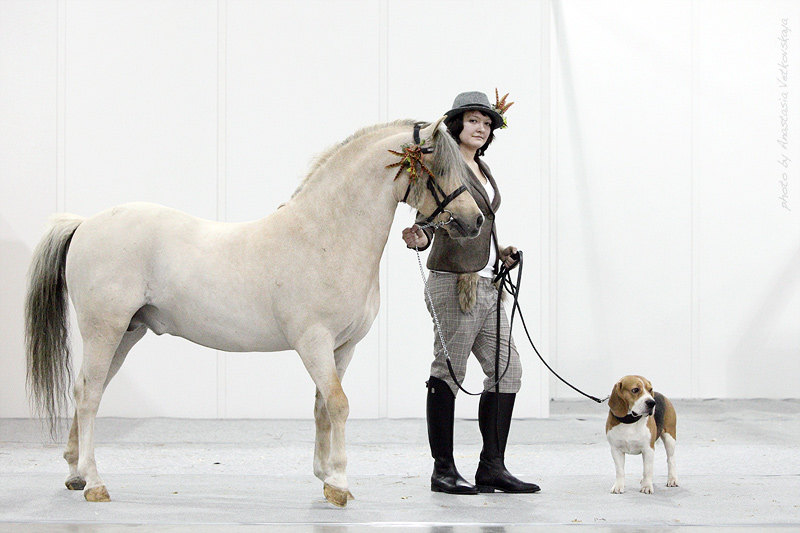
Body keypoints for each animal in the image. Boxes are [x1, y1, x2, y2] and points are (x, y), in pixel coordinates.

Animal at [25, 117, 482, 508]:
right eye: (439, 167)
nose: (475, 221)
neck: (326, 235)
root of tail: (85, 224)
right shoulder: (313, 341)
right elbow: (338, 404)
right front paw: (338, 484)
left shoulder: (342, 346)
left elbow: (322, 406)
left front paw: (324, 476)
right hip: (104, 329)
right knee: (89, 396)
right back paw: (95, 484)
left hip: (126, 332)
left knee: (86, 388)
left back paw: (76, 474)